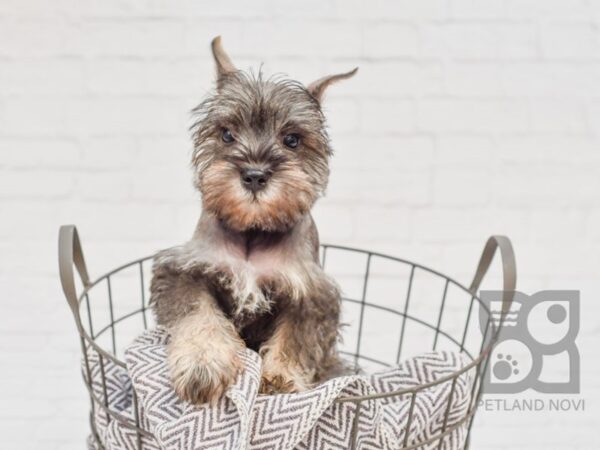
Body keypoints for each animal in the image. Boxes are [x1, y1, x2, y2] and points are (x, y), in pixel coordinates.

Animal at [150, 37, 356, 404]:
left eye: (292, 139)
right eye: (227, 134)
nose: (255, 175)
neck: (253, 230)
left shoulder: (312, 296)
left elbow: (295, 339)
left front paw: (279, 379)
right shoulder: (183, 271)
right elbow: (199, 313)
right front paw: (203, 364)